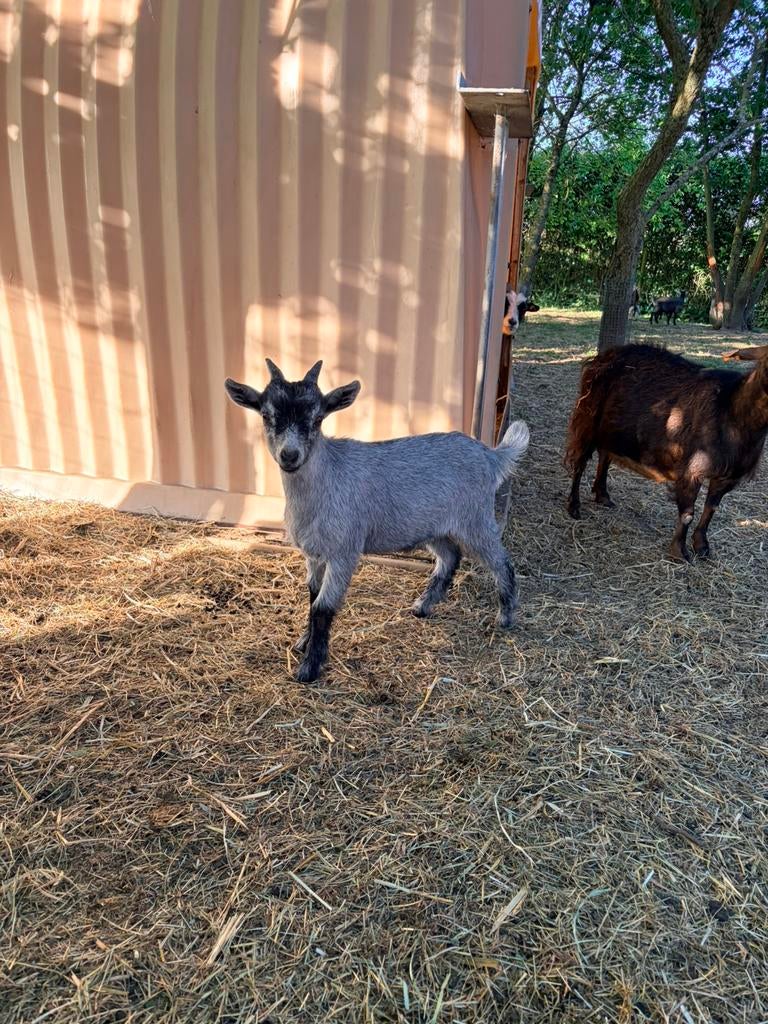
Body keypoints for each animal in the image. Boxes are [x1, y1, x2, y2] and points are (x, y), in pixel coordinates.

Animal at [225, 360, 530, 682]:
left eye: (318, 418)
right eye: (266, 415)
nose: (289, 455)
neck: (326, 479)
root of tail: (491, 455)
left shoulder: (344, 552)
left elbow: (322, 608)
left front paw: (309, 668)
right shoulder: (314, 554)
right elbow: (312, 597)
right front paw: (303, 643)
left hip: (476, 520)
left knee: (501, 561)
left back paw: (506, 616)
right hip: (434, 527)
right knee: (450, 557)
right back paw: (423, 607)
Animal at [564, 343, 768, 561]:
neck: (734, 412)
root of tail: (603, 357)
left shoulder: (727, 477)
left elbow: (711, 509)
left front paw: (702, 547)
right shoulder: (692, 469)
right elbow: (687, 513)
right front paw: (679, 552)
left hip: (612, 429)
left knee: (605, 455)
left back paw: (602, 496)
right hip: (588, 418)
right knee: (580, 462)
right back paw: (574, 507)